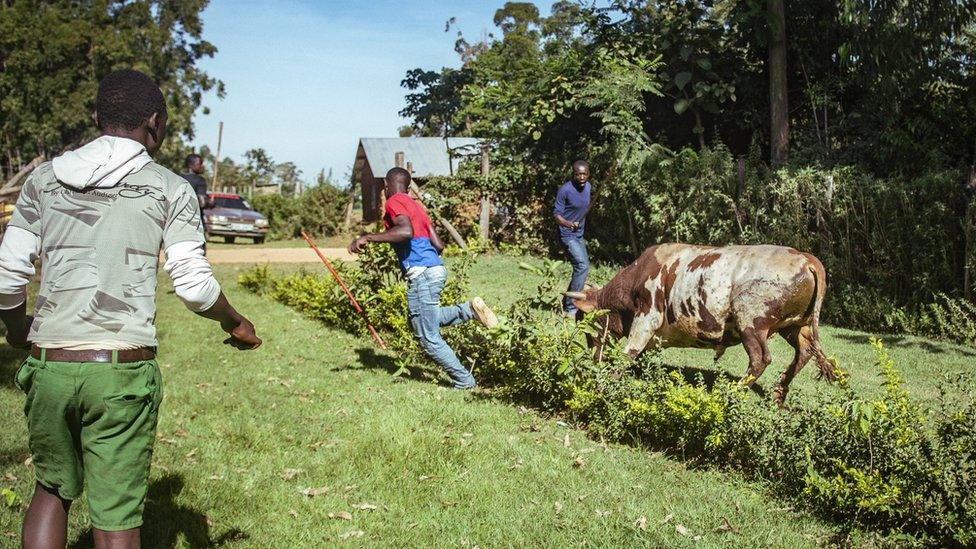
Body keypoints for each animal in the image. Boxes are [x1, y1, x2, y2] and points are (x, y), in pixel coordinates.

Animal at [564, 244, 840, 402]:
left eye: (584, 322)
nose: (594, 356)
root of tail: (806, 258)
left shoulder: (649, 313)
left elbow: (630, 350)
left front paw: (609, 378)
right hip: (795, 326)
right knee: (804, 352)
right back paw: (778, 394)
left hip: (750, 320)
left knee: (761, 358)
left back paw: (733, 392)